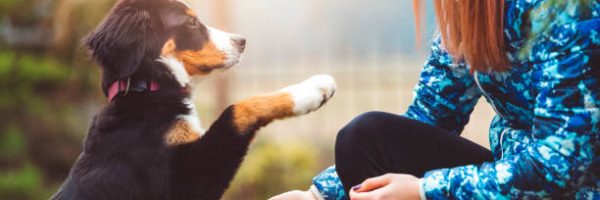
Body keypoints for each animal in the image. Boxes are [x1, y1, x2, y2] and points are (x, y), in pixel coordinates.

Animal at [52, 0, 338, 198]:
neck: (146, 91)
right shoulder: (187, 179)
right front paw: (312, 90)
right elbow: (236, 109)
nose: (242, 41)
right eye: (190, 23)